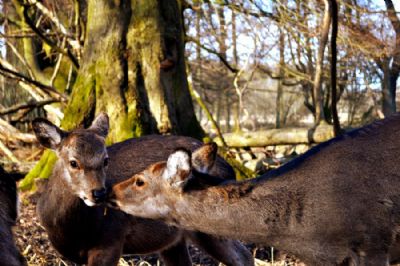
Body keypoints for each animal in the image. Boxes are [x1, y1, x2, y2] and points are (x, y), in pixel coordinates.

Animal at [32, 112, 255, 266]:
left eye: (106, 159)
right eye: (73, 162)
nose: (99, 193)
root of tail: (229, 168)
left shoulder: (111, 240)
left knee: (244, 256)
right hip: (174, 241)